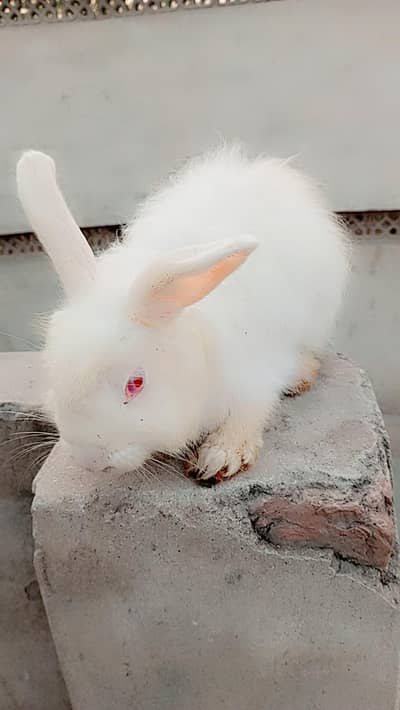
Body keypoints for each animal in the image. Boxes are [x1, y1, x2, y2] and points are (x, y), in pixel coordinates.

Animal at [16, 145, 349, 482]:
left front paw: (221, 456)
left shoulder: (256, 373)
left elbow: (250, 412)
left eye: (136, 383)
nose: (90, 460)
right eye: (54, 374)